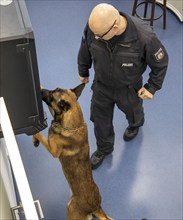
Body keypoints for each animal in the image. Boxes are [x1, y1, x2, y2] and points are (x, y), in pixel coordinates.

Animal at [33, 84, 113, 220]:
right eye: (53, 89)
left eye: (51, 96)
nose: (41, 89)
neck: (74, 125)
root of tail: (96, 207)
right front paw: (34, 140)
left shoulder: (53, 150)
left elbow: (41, 135)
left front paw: (35, 133)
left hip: (70, 208)